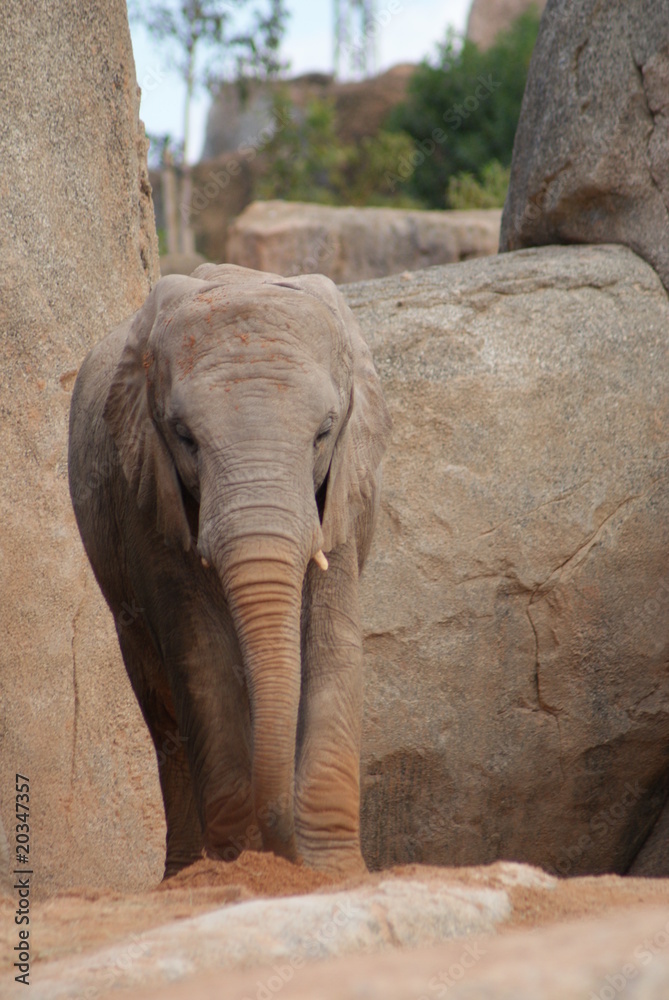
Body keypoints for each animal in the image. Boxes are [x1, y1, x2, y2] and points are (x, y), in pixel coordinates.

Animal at [66, 264, 392, 876]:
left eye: (324, 432)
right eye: (184, 437)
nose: (289, 854)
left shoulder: (343, 493)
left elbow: (332, 644)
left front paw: (333, 870)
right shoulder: (147, 497)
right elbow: (202, 657)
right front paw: (238, 864)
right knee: (164, 714)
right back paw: (186, 871)